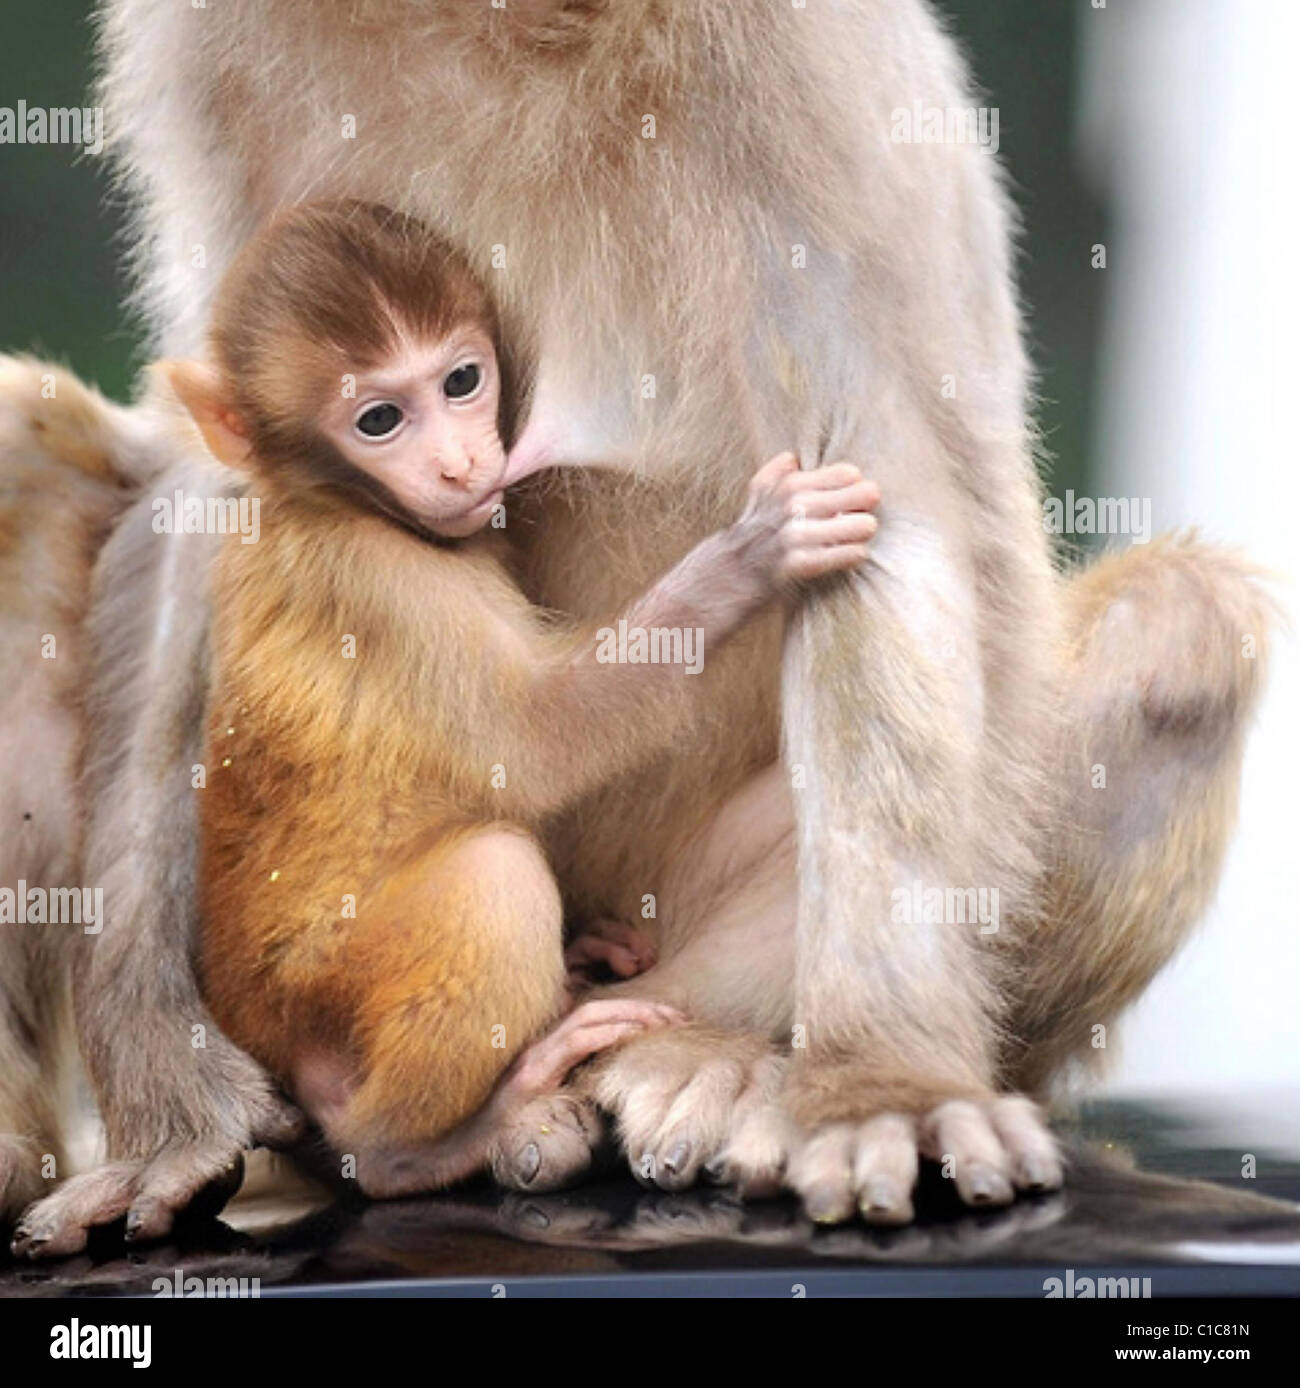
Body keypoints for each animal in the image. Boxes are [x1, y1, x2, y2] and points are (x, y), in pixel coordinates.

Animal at [157, 201, 876, 1199]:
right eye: (379, 419)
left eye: (461, 380)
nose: (461, 466)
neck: (333, 503)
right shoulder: (378, 584)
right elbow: (536, 741)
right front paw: (749, 558)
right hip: (320, 1004)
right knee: (490, 879)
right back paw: (440, 1133)